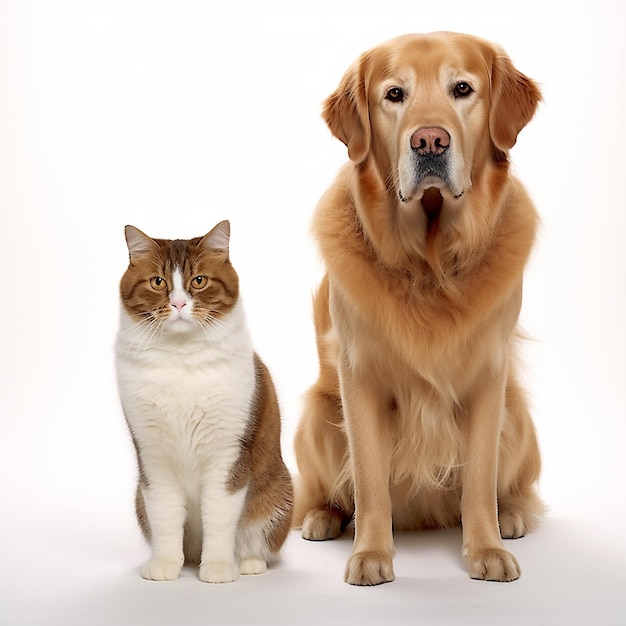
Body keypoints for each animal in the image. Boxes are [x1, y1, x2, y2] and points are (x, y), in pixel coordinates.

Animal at [114, 218, 292, 580]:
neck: (181, 358)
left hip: (278, 493)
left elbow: (220, 516)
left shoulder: (228, 452)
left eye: (199, 280)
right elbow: (165, 513)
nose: (180, 304)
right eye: (158, 282)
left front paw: (219, 566)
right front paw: (165, 564)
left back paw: (248, 562)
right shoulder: (153, 455)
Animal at [292, 31, 540, 584]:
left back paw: (512, 514)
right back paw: (323, 517)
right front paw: (370, 553)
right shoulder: (358, 377)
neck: (430, 262)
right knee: (326, 491)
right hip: (319, 411)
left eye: (462, 88)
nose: (429, 141)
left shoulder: (488, 378)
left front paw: (486, 548)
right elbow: (369, 479)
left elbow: (479, 478)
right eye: (394, 94)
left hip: (517, 412)